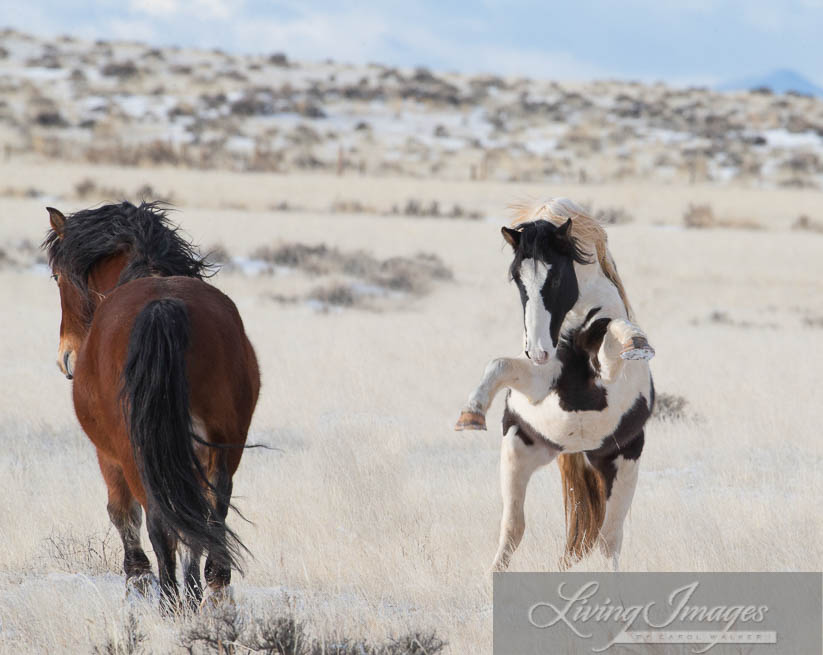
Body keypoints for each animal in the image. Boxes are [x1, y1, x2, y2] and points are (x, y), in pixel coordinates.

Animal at [41, 201, 260, 608]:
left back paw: (172, 601)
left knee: (160, 519)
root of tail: (163, 304)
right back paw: (211, 593)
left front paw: (137, 580)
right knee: (210, 514)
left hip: (135, 451)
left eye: (57, 277)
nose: (67, 358)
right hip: (221, 446)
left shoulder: (108, 455)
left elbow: (122, 514)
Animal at [454, 197, 652, 572]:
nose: (538, 350)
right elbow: (499, 364)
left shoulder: (604, 372)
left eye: (557, 275)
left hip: (622, 462)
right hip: (520, 450)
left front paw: (637, 342)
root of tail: (575, 449)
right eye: (517, 277)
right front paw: (470, 415)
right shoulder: (541, 382)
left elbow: (613, 335)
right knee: (513, 528)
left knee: (609, 540)